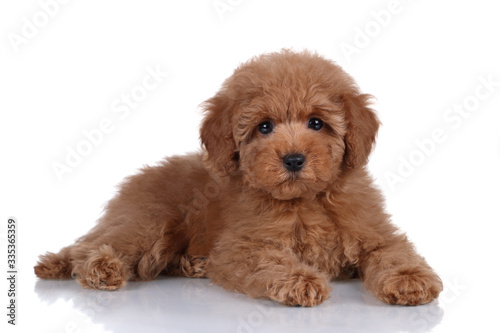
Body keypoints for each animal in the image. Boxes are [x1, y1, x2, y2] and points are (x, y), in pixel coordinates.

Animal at [34, 50, 442, 306]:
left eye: (316, 123)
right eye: (264, 127)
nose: (294, 159)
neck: (305, 201)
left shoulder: (375, 232)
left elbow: (393, 252)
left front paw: (410, 279)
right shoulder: (243, 246)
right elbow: (270, 261)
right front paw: (301, 280)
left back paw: (192, 264)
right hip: (148, 221)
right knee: (92, 245)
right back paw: (101, 269)